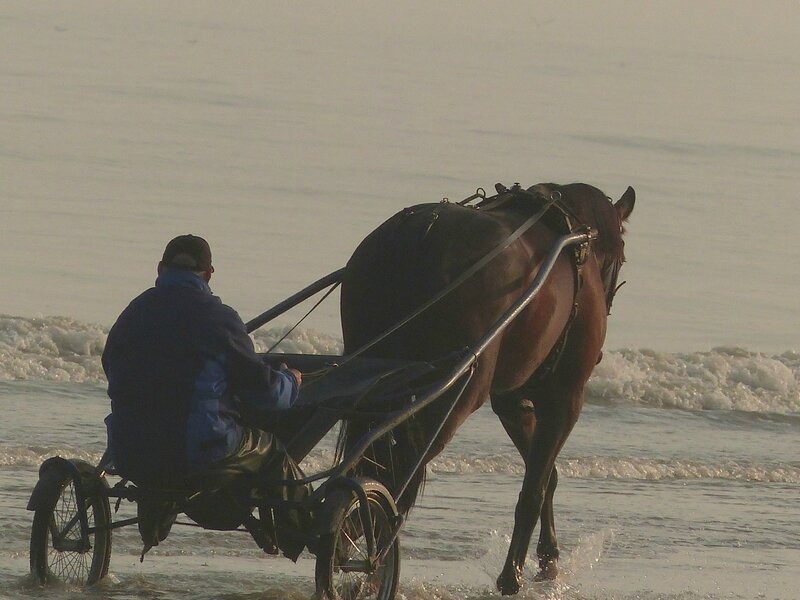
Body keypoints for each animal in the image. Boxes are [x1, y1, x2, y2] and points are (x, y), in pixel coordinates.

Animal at [340, 180, 636, 592]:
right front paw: (513, 574)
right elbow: (533, 488)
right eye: (621, 257)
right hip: (456, 394)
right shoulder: (564, 399)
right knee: (399, 473)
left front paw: (548, 558)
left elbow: (545, 476)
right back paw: (372, 558)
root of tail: (420, 233)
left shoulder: (511, 400)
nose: (599, 357)